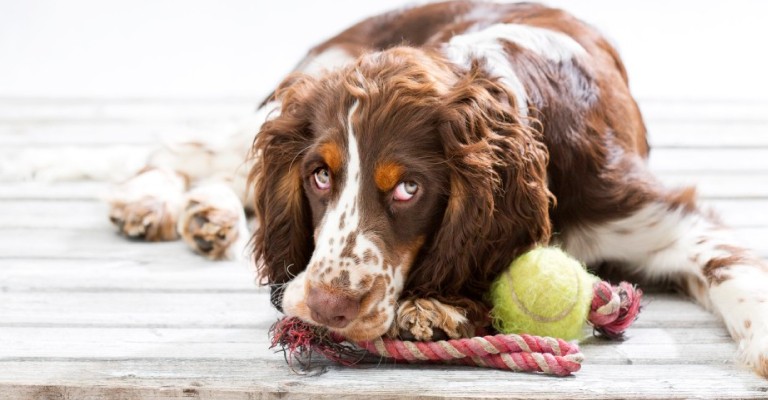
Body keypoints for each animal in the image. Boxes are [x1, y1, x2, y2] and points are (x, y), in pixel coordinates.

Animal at [106, 0, 768, 376]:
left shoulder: (657, 217)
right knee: (186, 149)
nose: (326, 308)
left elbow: (731, 268)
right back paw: (155, 201)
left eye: (408, 189)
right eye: (319, 175)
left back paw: (204, 215)